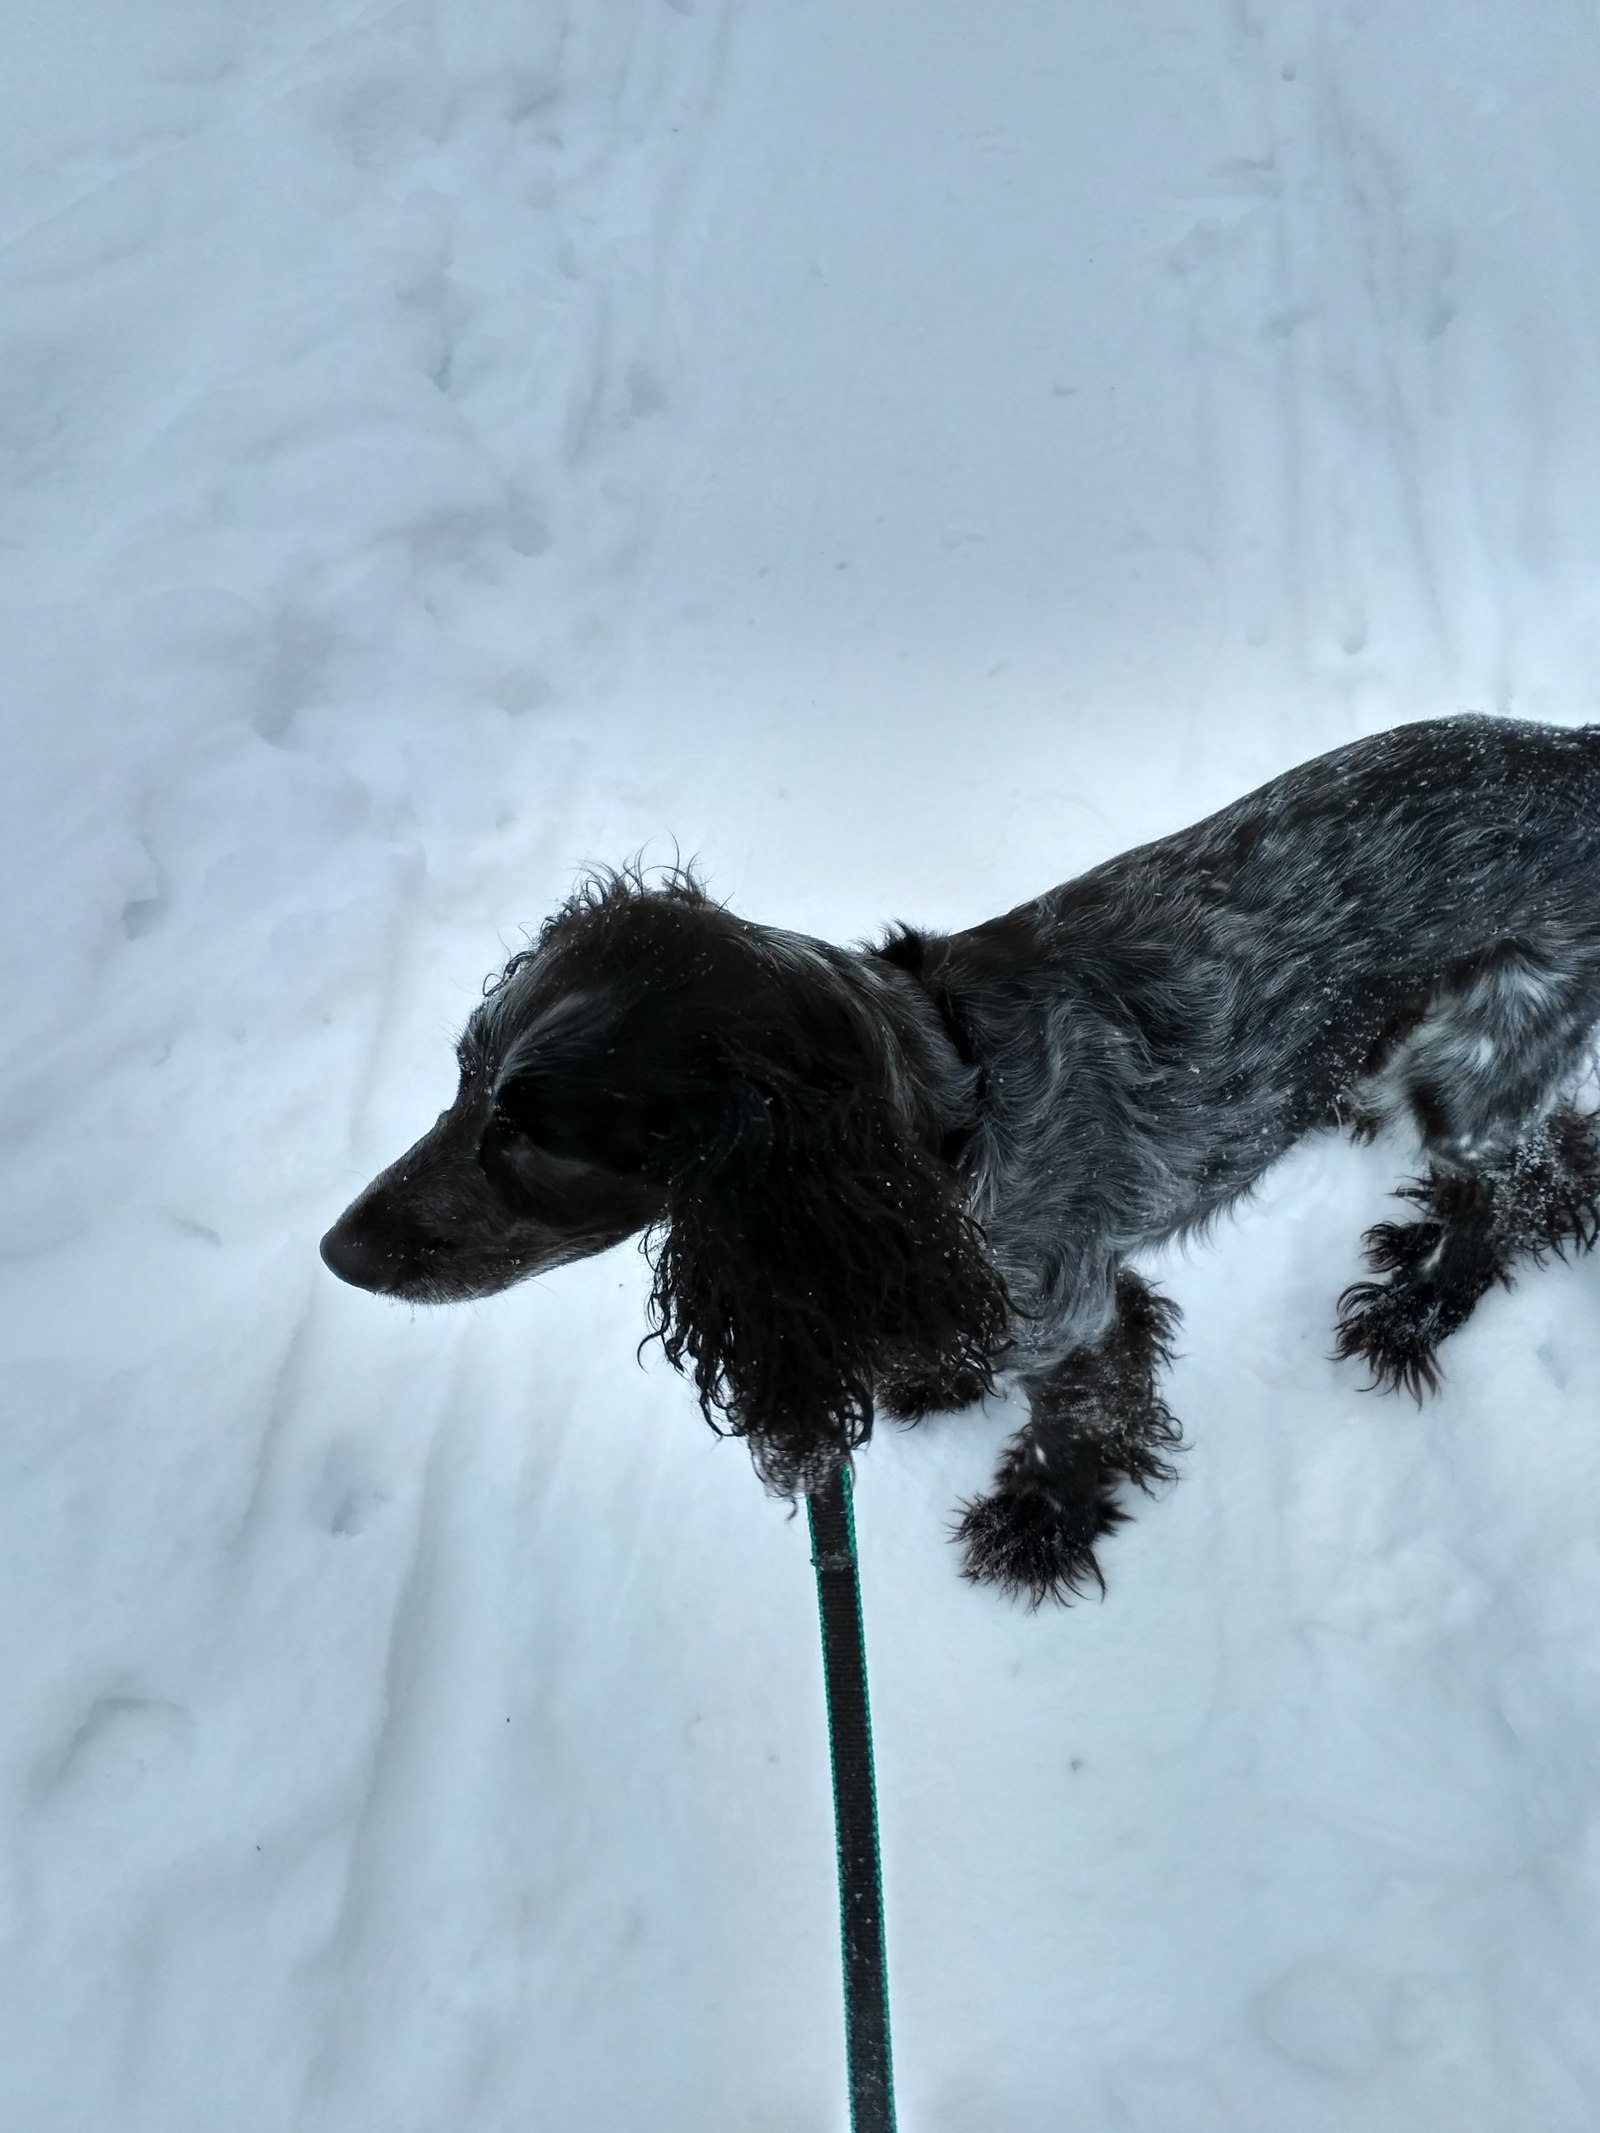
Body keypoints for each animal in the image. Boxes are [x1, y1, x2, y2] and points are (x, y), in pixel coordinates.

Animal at [320, 716, 1600, 1604]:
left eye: (535, 1140)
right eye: (461, 1078)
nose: (336, 1253)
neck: (939, 1114)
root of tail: (1579, 755)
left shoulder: (1073, 1308)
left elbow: (1078, 1422)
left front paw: (1039, 1526)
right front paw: (936, 1383)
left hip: (1483, 1057)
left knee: (1514, 1183)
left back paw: (1416, 1304)